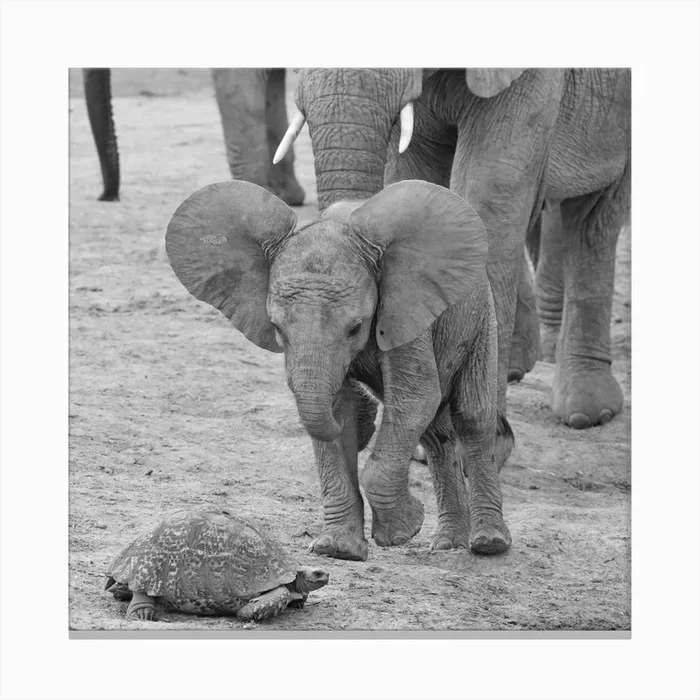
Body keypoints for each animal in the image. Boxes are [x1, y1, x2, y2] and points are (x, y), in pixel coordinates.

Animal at [165, 179, 512, 561]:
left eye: (356, 328)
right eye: (277, 329)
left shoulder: (404, 310)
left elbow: (415, 398)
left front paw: (403, 531)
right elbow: (346, 409)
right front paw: (338, 549)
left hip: (481, 318)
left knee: (471, 418)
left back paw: (488, 543)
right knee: (437, 434)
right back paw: (448, 544)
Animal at [273, 68, 630, 440]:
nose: (349, 414)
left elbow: (488, 193)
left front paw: (487, 437)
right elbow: (412, 180)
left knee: (595, 220)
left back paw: (587, 412)